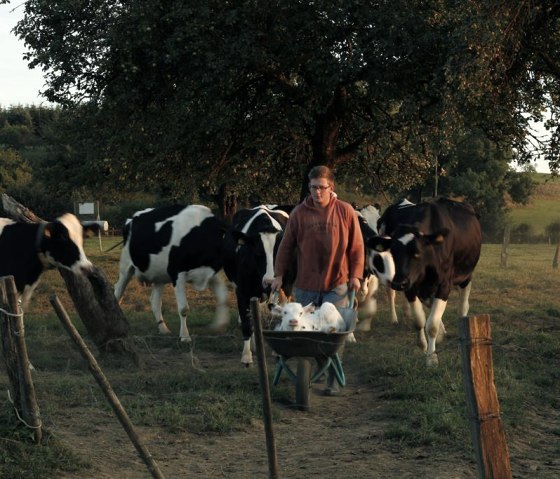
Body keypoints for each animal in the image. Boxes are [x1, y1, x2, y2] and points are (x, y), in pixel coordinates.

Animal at [114, 204, 230, 344]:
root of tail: (131, 219)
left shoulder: (210, 272)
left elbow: (223, 298)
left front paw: (219, 325)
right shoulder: (177, 273)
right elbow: (184, 308)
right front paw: (185, 336)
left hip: (159, 275)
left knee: (155, 300)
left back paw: (163, 329)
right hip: (126, 267)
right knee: (118, 292)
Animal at [222, 204, 298, 366]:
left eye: (279, 254)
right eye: (258, 254)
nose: (269, 281)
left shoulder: (287, 287)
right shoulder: (242, 291)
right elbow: (246, 322)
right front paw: (246, 356)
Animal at [368, 199, 482, 368]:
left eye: (417, 253)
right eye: (393, 252)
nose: (399, 283)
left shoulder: (444, 285)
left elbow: (432, 325)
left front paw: (432, 357)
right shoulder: (411, 287)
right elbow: (420, 320)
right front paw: (423, 345)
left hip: (466, 276)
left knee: (463, 307)